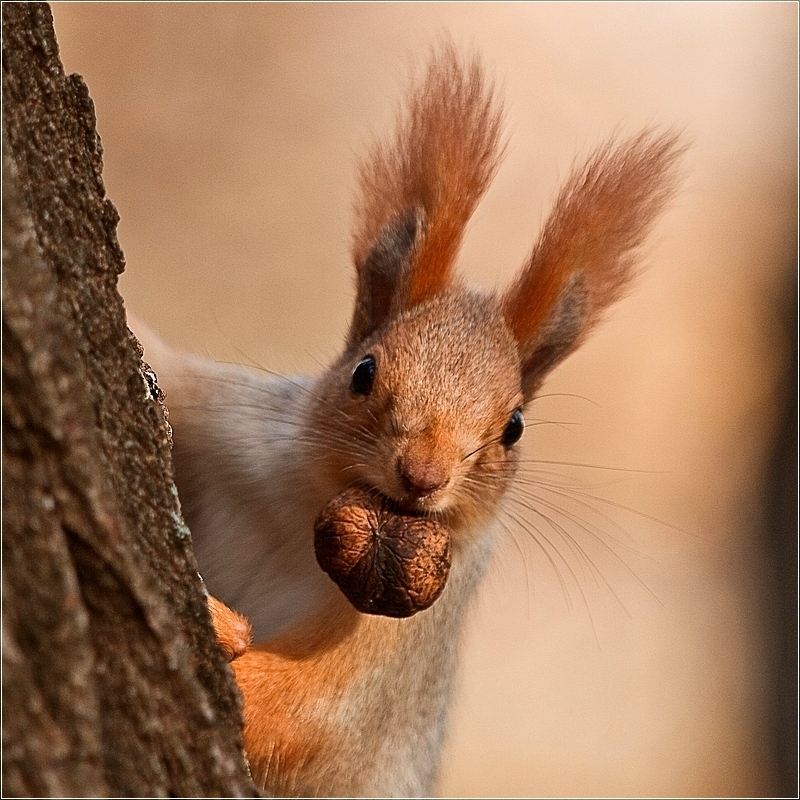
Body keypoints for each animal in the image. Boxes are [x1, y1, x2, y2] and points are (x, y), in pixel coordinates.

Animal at [130, 45, 680, 800]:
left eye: (514, 427)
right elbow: (166, 367)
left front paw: (221, 633)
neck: (308, 509)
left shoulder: (409, 634)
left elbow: (310, 711)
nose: (423, 475)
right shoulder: (234, 426)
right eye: (363, 372)